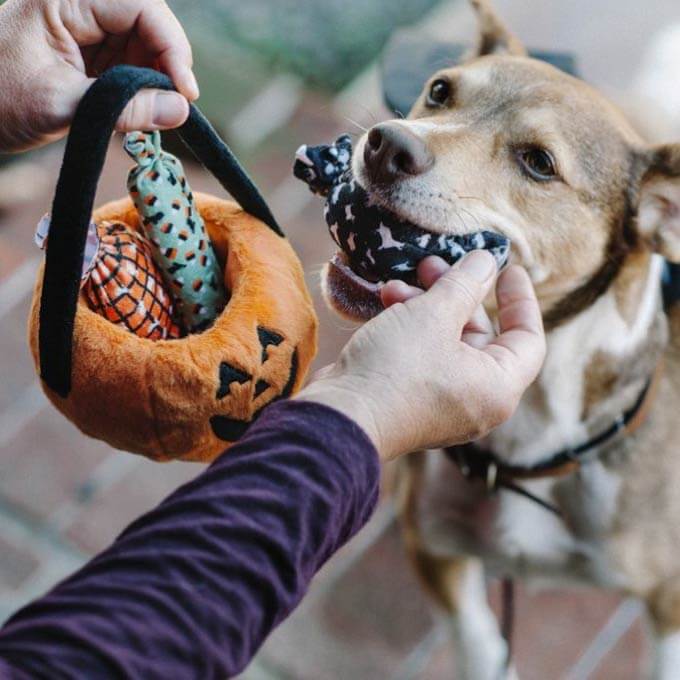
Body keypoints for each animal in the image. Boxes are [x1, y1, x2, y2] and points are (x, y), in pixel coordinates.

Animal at [322, 1, 680, 680]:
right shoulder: (432, 542)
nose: (386, 144)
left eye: (539, 162)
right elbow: (482, 644)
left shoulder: (669, 599)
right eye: (440, 91)